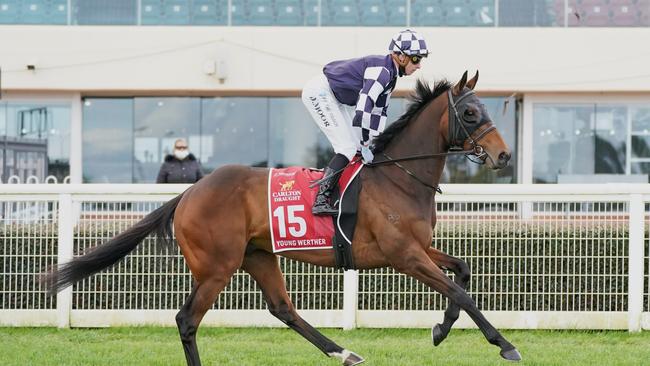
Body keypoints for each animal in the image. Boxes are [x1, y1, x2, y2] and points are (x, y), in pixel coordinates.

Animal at [44, 70, 520, 364]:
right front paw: (504, 344)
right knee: (187, 320)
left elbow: (463, 272)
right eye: (471, 112)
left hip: (258, 255)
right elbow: (462, 293)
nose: (503, 155)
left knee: (283, 309)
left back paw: (345, 353)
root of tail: (189, 193)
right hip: (217, 266)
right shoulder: (403, 255)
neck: (398, 177)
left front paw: (440, 329)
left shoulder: (418, 249)